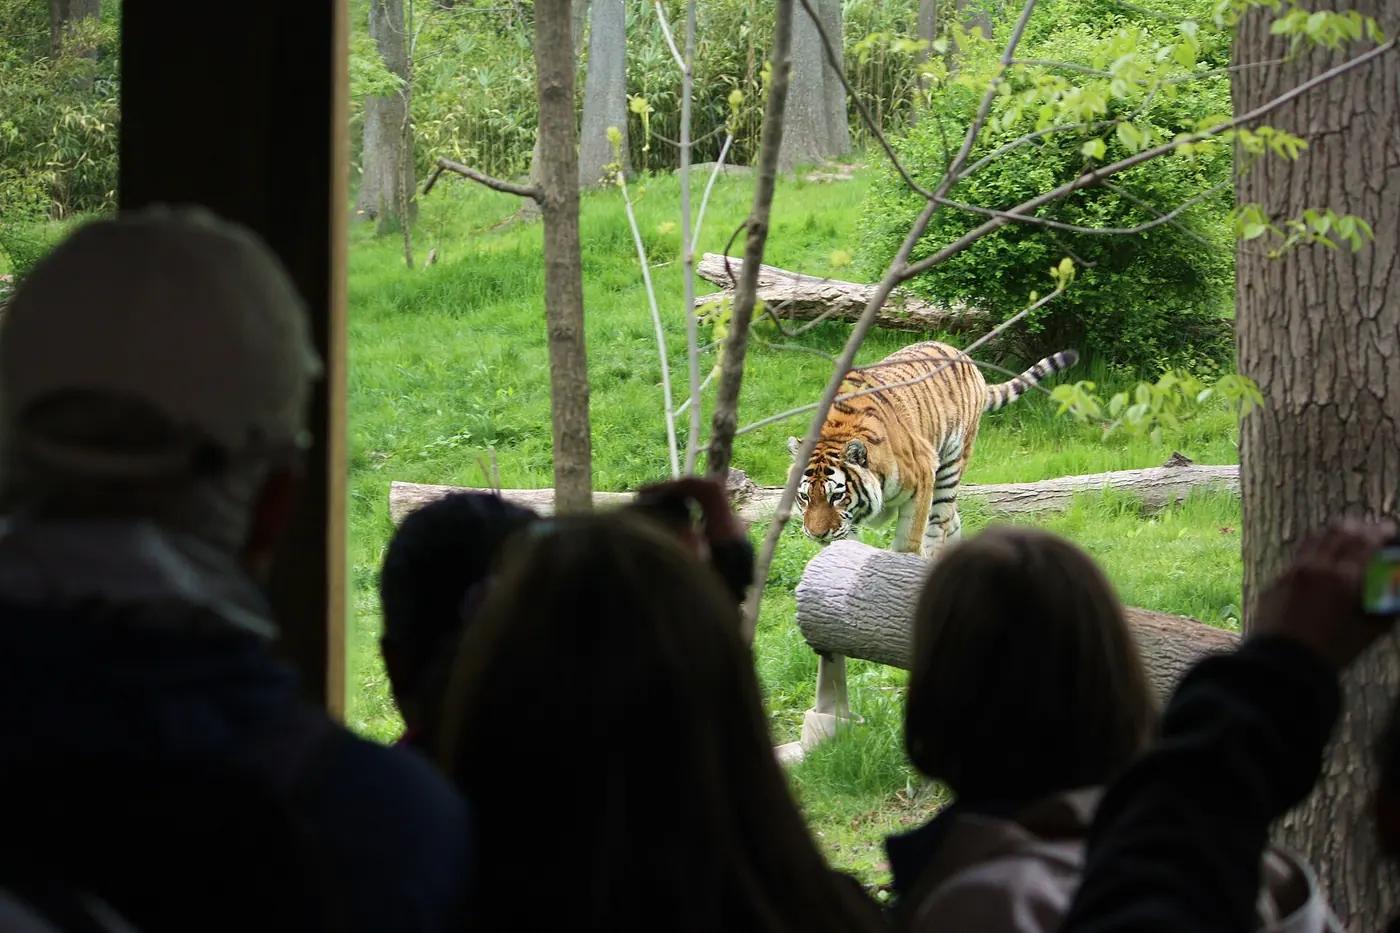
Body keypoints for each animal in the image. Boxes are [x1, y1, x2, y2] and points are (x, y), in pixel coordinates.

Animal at [788, 341, 1079, 558]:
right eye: (804, 497)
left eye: (836, 496)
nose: (816, 534)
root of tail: (967, 359)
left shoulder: (923, 476)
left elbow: (910, 539)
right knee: (954, 520)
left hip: (950, 465)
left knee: (940, 521)